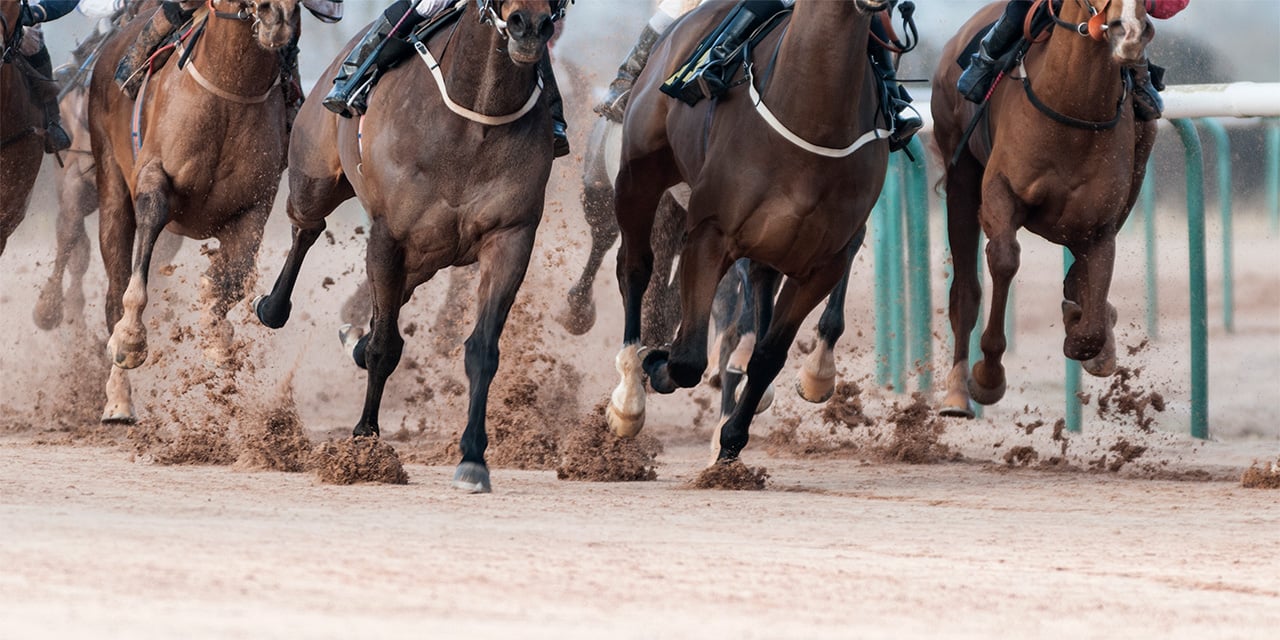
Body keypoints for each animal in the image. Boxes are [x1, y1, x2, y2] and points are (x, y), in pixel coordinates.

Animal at [89, 0, 299, 422]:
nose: (278, 16)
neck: (231, 90)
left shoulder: (255, 204)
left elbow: (229, 280)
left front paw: (218, 336)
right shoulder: (153, 177)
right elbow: (140, 264)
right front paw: (130, 340)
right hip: (111, 185)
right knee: (114, 287)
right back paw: (118, 399)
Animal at [253, 0, 562, 493]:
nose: (528, 25)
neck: (475, 117)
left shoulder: (511, 236)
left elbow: (482, 349)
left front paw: (473, 458)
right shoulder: (388, 235)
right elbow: (383, 348)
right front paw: (365, 442)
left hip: (426, 257)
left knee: (394, 298)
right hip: (315, 178)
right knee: (307, 229)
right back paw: (272, 306)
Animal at [607, 0, 893, 464]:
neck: (813, 118)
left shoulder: (825, 261)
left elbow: (769, 354)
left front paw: (732, 438)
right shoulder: (710, 233)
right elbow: (686, 359)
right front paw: (658, 366)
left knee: (759, 286)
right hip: (638, 175)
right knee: (634, 268)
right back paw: (630, 395)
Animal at [932, 0, 1157, 418]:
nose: (1131, 33)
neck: (1072, 108)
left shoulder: (1100, 225)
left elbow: (1090, 326)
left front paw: (1091, 337)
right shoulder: (1000, 194)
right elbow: (1004, 260)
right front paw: (988, 377)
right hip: (960, 174)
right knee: (966, 289)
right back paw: (956, 391)